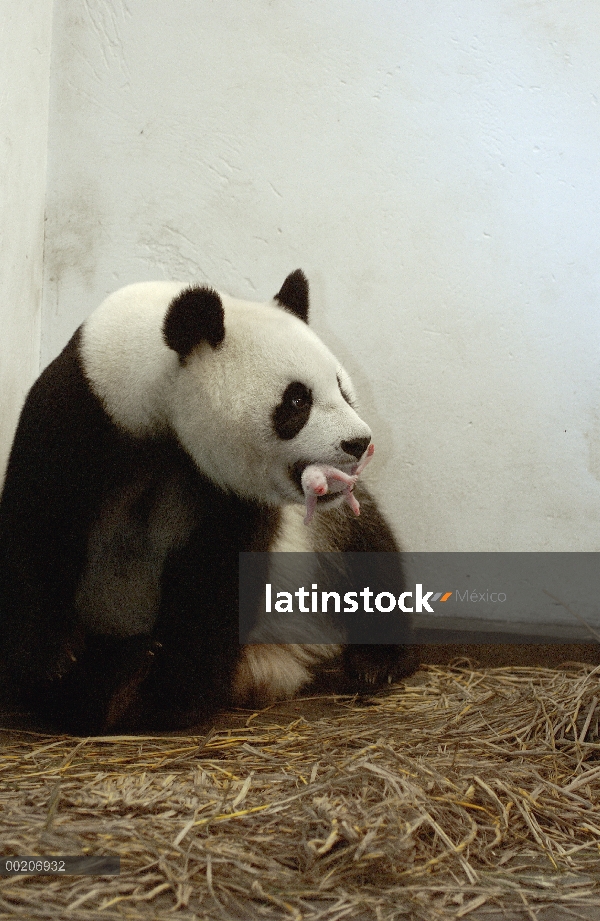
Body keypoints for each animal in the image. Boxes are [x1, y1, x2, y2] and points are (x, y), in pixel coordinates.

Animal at [0, 270, 412, 728]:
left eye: (341, 388)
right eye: (297, 399)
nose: (359, 442)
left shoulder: (231, 494)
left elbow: (218, 579)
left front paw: (174, 697)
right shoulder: (80, 413)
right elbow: (38, 525)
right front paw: (55, 661)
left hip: (325, 537)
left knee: (368, 553)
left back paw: (375, 662)